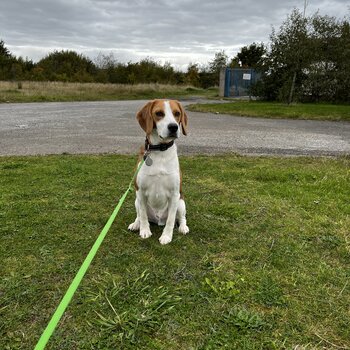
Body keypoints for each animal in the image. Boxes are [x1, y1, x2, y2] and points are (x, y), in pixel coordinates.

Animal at [128, 100, 189, 245]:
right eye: (159, 113)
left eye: (177, 113)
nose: (173, 127)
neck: (160, 150)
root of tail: (158, 220)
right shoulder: (140, 191)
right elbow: (143, 215)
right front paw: (144, 230)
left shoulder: (174, 194)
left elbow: (171, 220)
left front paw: (166, 236)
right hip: (136, 200)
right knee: (139, 215)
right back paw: (136, 224)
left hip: (181, 203)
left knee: (181, 218)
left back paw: (183, 227)